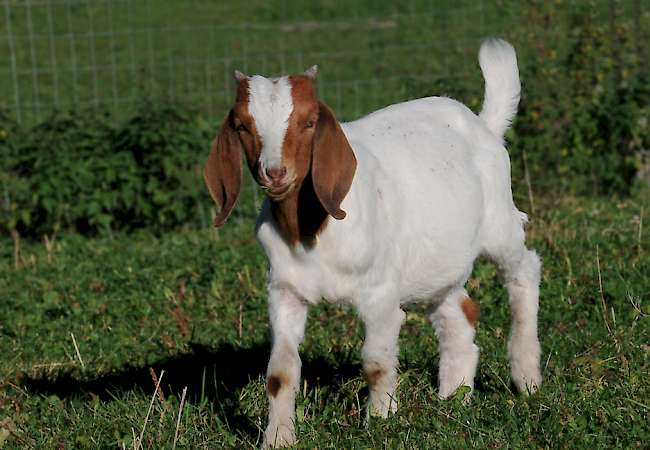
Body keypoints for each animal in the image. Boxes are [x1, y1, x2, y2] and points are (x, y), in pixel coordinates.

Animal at [202, 40, 540, 448]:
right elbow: (280, 372)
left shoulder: (380, 293)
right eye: (241, 126)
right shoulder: (284, 291)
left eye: (309, 121)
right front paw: (277, 437)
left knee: (523, 271)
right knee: (458, 312)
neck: (312, 233)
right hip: (436, 261)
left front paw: (380, 423)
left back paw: (526, 377)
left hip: (498, 223)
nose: (276, 172)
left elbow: (376, 362)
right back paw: (453, 399)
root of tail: (482, 124)